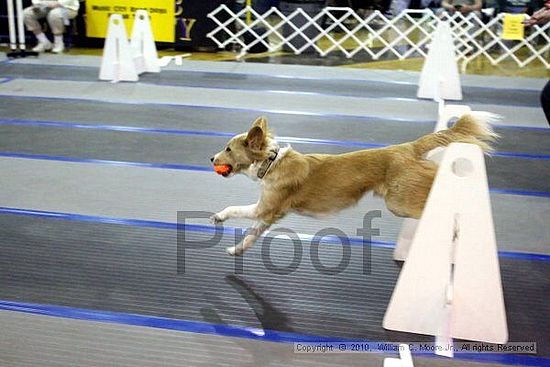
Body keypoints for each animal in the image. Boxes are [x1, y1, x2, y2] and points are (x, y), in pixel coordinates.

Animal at [210, 114, 500, 256]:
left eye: (228, 149)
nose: (211, 159)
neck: (271, 162)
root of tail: (408, 147)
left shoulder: (266, 208)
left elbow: (234, 208)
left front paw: (219, 217)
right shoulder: (269, 216)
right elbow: (251, 236)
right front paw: (236, 250)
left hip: (400, 202)